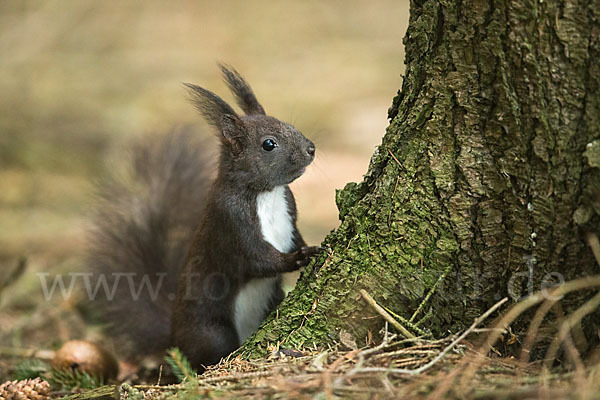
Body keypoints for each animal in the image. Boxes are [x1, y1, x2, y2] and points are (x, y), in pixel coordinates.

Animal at [88, 64, 318, 370]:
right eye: (269, 144)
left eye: (286, 124)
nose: (311, 148)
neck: (267, 194)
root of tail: (173, 339)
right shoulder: (231, 221)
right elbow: (259, 259)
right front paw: (298, 258)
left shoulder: (289, 213)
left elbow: (295, 236)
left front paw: (309, 248)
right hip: (212, 332)